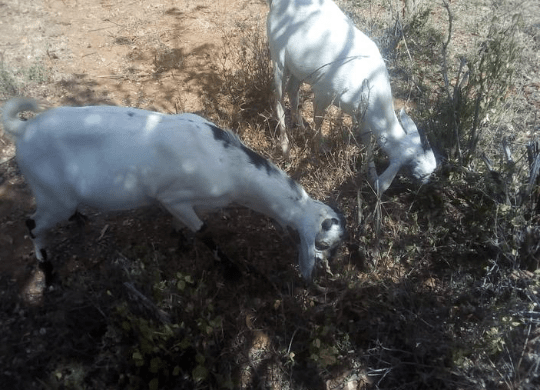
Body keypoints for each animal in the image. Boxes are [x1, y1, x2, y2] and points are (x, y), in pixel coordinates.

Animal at [1, 97, 346, 280]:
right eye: (323, 243)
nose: (326, 273)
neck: (231, 165)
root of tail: (23, 128)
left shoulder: (188, 203)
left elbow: (186, 226)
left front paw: (179, 238)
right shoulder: (173, 197)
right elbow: (205, 233)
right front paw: (231, 269)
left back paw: (80, 219)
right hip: (51, 196)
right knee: (32, 225)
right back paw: (48, 272)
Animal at [268, 0, 436, 193]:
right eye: (415, 166)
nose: (427, 183)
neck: (369, 81)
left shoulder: (361, 113)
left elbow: (367, 139)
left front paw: (371, 174)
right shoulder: (322, 93)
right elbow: (318, 121)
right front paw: (319, 150)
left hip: (298, 68)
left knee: (292, 90)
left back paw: (301, 128)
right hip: (278, 56)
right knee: (279, 99)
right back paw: (286, 148)